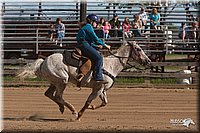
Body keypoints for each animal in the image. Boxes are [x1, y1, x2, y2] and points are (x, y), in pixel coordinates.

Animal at [16, 40, 151, 120]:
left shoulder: (102, 89)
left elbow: (104, 103)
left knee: (49, 94)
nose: (148, 61)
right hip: (62, 81)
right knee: (58, 96)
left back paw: (62, 108)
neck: (111, 65)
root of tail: (42, 62)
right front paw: (80, 115)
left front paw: (92, 107)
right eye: (139, 49)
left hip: (55, 82)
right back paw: (73, 110)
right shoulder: (98, 89)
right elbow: (88, 101)